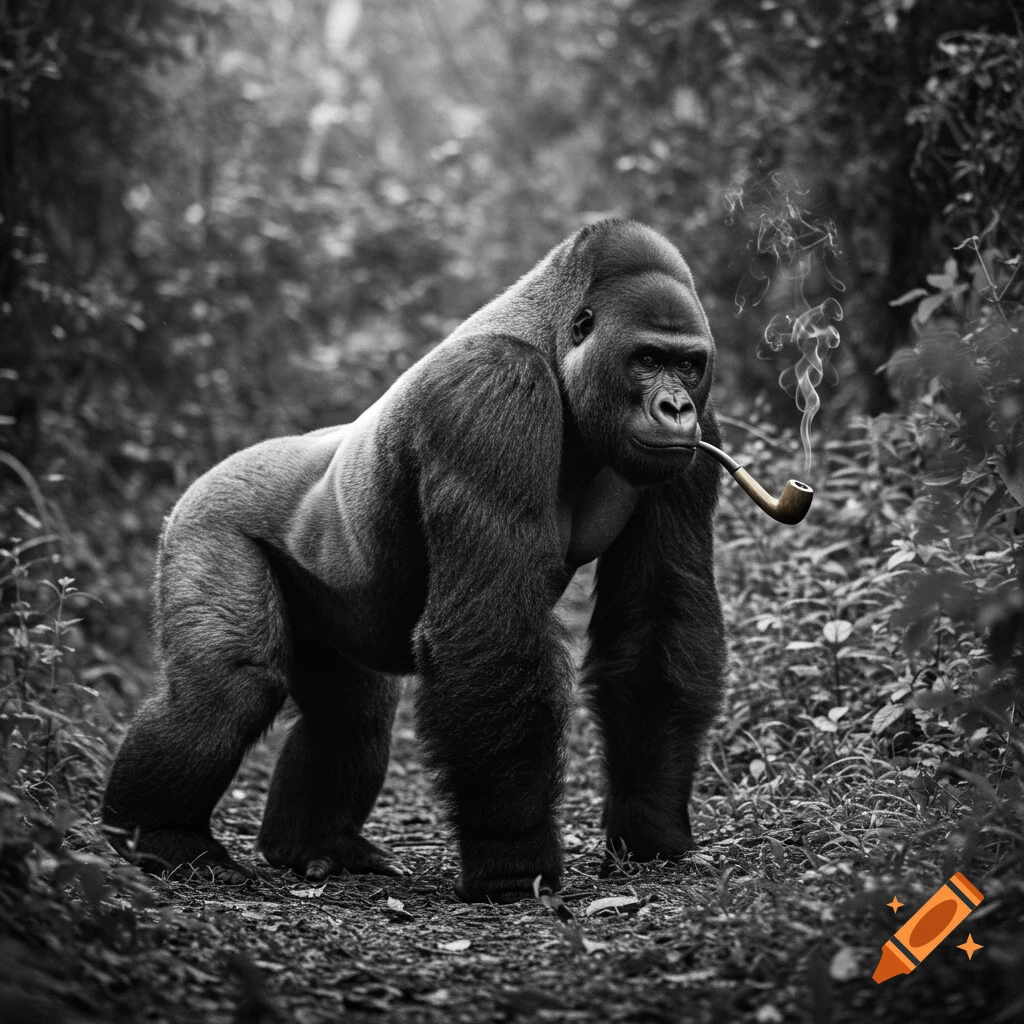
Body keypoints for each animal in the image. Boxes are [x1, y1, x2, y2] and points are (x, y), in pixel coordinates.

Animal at [102, 219, 727, 903]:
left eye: (688, 364)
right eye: (647, 359)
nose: (675, 408)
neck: (559, 353)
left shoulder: (700, 434)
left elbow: (655, 620)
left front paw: (650, 825)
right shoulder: (490, 393)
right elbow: (490, 633)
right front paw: (512, 857)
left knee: (351, 716)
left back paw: (316, 844)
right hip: (205, 521)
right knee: (226, 689)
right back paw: (160, 836)